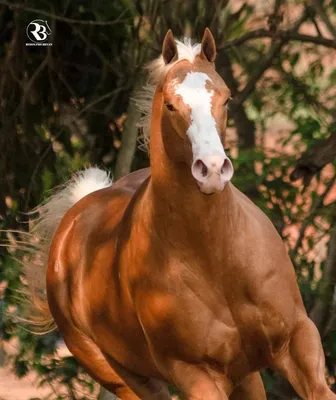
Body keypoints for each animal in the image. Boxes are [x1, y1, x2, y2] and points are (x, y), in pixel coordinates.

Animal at [22, 28, 334, 400]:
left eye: (226, 99)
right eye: (171, 104)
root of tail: (70, 226)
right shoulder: (195, 373)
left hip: (245, 375)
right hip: (127, 379)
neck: (218, 260)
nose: (212, 170)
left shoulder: (298, 339)